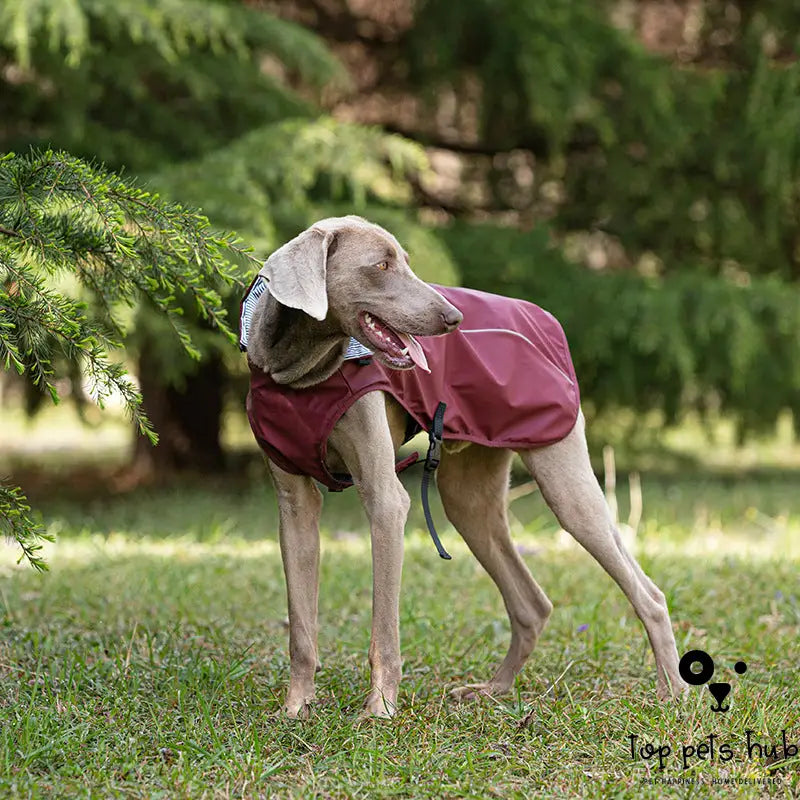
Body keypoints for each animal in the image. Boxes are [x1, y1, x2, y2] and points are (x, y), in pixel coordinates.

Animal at [241, 214, 684, 720]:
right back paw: (492, 690)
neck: (301, 373)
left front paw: (379, 710)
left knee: (648, 595)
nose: (454, 319)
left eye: (406, 261)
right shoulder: (294, 506)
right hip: (468, 498)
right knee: (532, 604)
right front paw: (295, 709)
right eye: (381, 265)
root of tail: (547, 319)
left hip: (565, 480)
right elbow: (300, 628)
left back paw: (673, 692)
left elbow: (384, 630)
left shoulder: (385, 499)